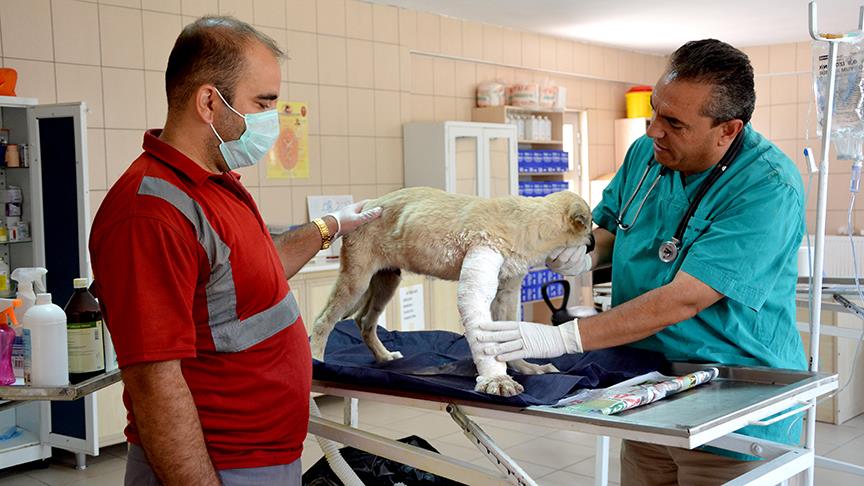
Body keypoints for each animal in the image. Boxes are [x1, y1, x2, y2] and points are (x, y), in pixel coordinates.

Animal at [308, 186, 592, 394]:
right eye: (589, 227)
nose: (592, 245)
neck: (528, 221)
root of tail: (369, 204)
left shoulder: (506, 294)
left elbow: (507, 338)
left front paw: (524, 368)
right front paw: (497, 379)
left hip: (386, 281)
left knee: (364, 321)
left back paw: (383, 355)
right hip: (356, 281)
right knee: (323, 320)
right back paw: (317, 360)